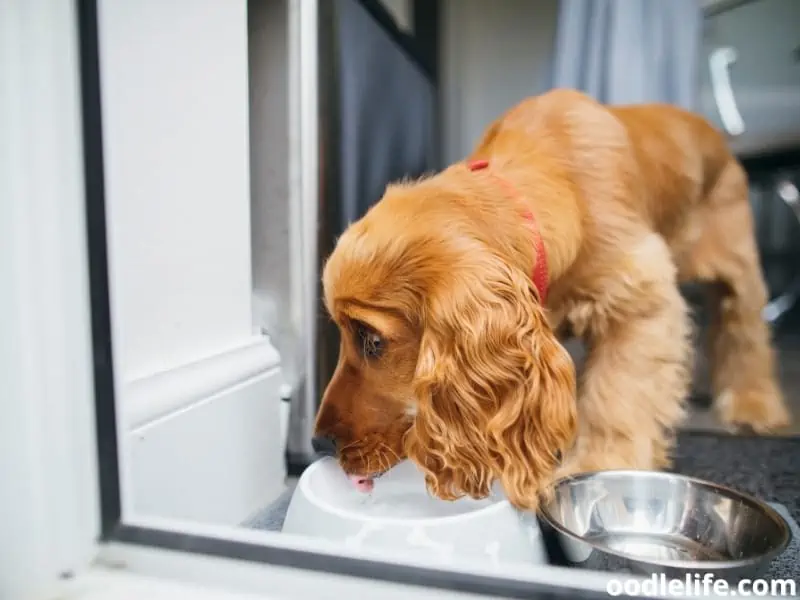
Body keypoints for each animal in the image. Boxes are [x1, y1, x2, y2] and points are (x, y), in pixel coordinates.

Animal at [310, 89, 788, 510]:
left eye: (373, 341)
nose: (318, 443)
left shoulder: (641, 300)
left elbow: (618, 396)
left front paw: (601, 464)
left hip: (738, 262)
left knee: (745, 330)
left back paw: (754, 406)